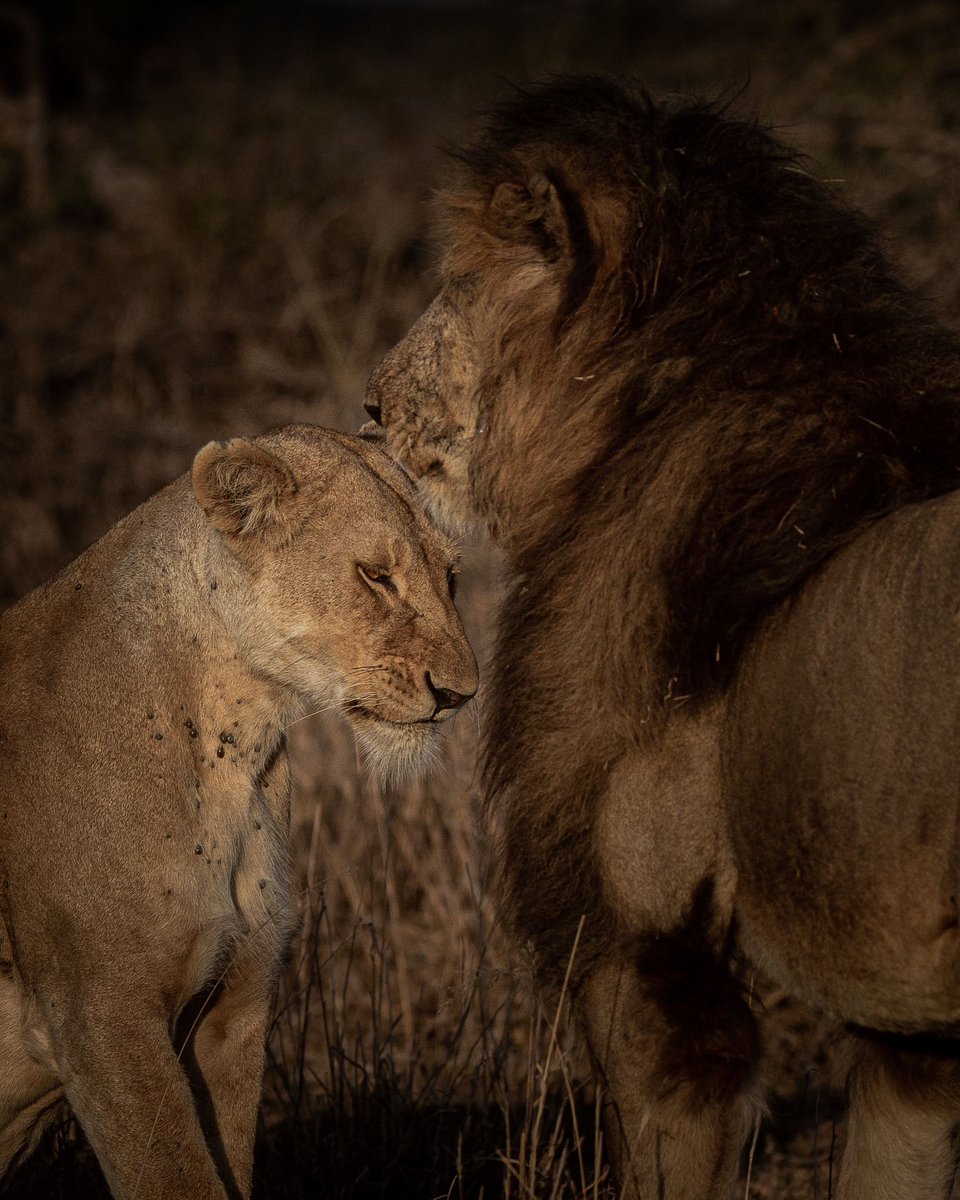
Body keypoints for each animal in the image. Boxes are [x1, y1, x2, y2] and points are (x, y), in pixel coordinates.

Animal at [0, 423, 477, 1199]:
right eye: (376, 576)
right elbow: (176, 1175)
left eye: (451, 575)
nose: (462, 693)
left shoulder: (236, 1009)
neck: (237, 744)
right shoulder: (100, 1020)